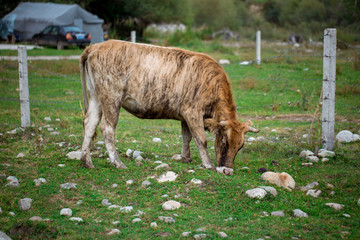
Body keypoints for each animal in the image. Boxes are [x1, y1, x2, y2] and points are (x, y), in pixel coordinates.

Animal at [79, 39, 258, 171]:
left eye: (241, 146)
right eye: (224, 141)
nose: (227, 170)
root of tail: (96, 46)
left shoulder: (185, 116)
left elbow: (187, 137)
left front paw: (186, 158)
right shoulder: (192, 112)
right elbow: (201, 138)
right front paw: (208, 164)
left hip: (96, 97)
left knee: (90, 123)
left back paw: (86, 161)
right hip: (112, 98)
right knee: (107, 128)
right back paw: (117, 162)